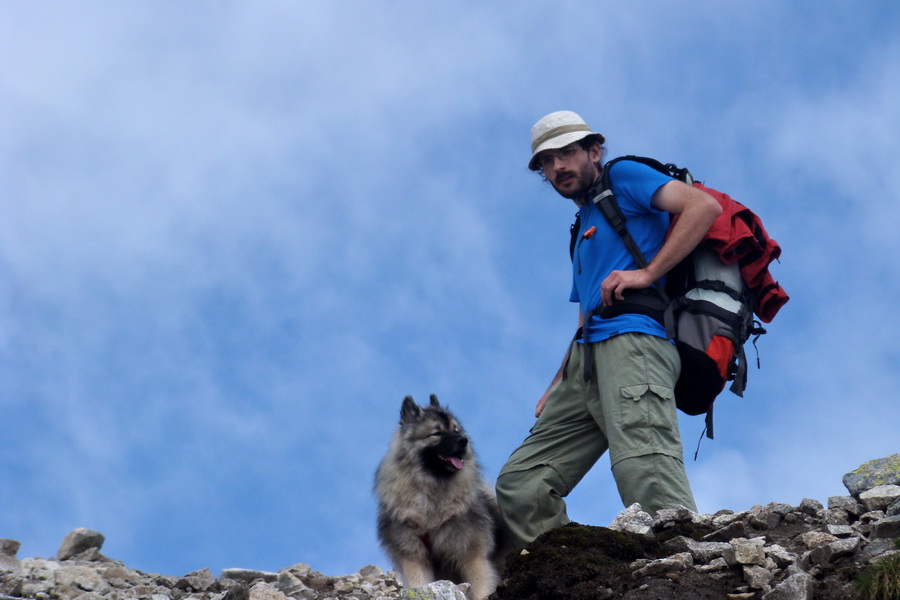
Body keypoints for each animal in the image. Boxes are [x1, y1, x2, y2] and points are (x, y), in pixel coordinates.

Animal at [370, 394, 500, 600]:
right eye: (436, 433)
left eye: (456, 430)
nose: (464, 440)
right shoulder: (413, 556)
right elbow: (418, 581)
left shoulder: (472, 556)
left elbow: (481, 586)